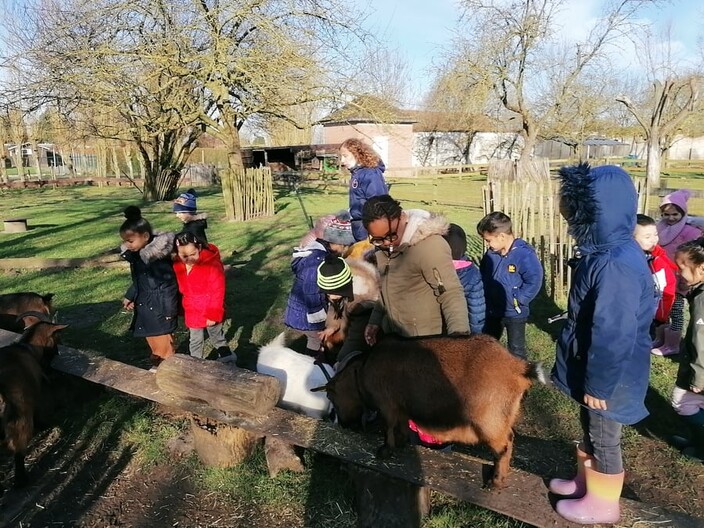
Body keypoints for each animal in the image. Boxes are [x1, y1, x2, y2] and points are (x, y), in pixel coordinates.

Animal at [0, 320, 66, 488]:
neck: (27, 348)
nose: (57, 353)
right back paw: (21, 480)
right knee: (18, 448)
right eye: (57, 337)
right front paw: (43, 425)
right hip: (19, 417)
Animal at [312, 334, 544, 486]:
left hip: (490, 421)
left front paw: (385, 451)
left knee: (505, 445)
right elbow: (401, 426)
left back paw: (495, 481)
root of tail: (518, 368)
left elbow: (388, 428)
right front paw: (401, 443)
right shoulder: (401, 408)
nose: (344, 424)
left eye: (331, 396)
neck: (362, 371)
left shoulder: (388, 405)